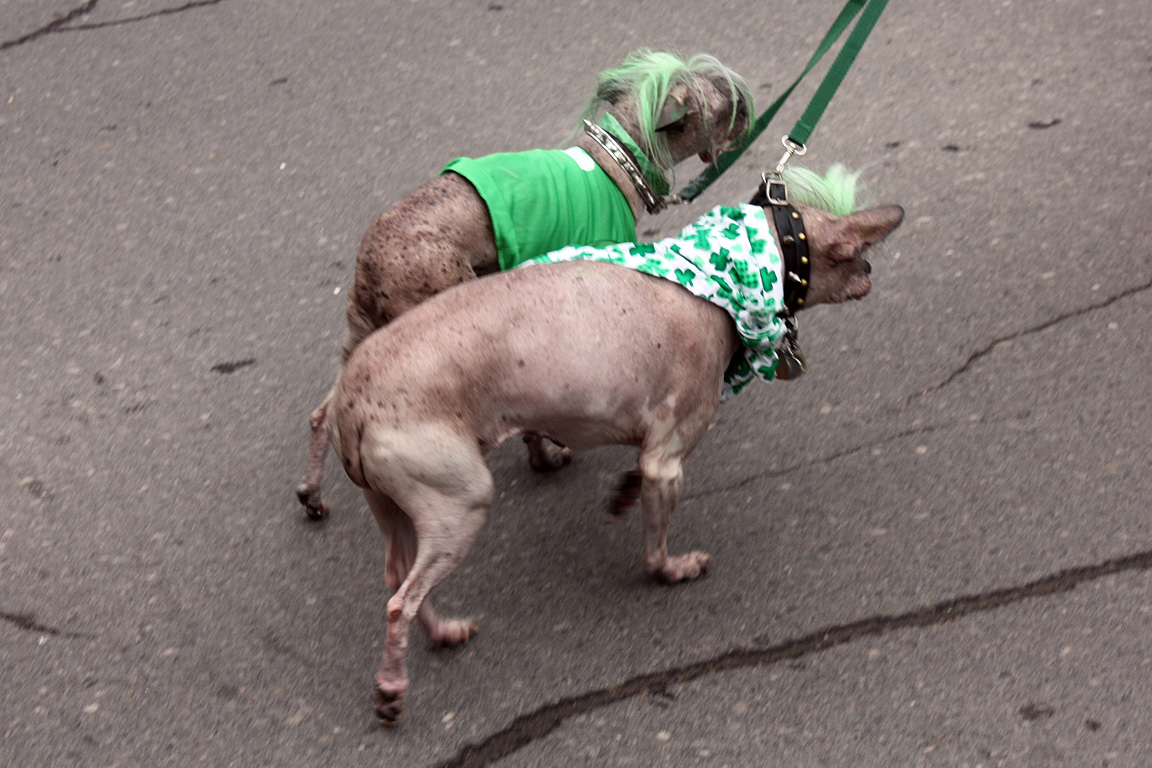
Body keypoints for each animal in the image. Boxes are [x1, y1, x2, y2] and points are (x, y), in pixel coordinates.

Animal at [297, 51, 754, 518]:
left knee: (321, 414)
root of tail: (367, 271)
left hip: (365, 336)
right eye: (724, 109)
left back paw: (312, 494)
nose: (748, 118)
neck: (615, 162)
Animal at [324, 171, 904, 722]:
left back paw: (442, 632)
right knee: (400, 602)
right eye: (851, 254)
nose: (872, 273)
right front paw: (674, 570)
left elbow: (634, 478)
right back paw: (392, 687)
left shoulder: (653, 455)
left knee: (396, 579)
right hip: (461, 502)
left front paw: (623, 493)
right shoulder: (668, 462)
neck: (728, 273)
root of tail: (348, 401)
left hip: (395, 506)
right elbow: (654, 552)